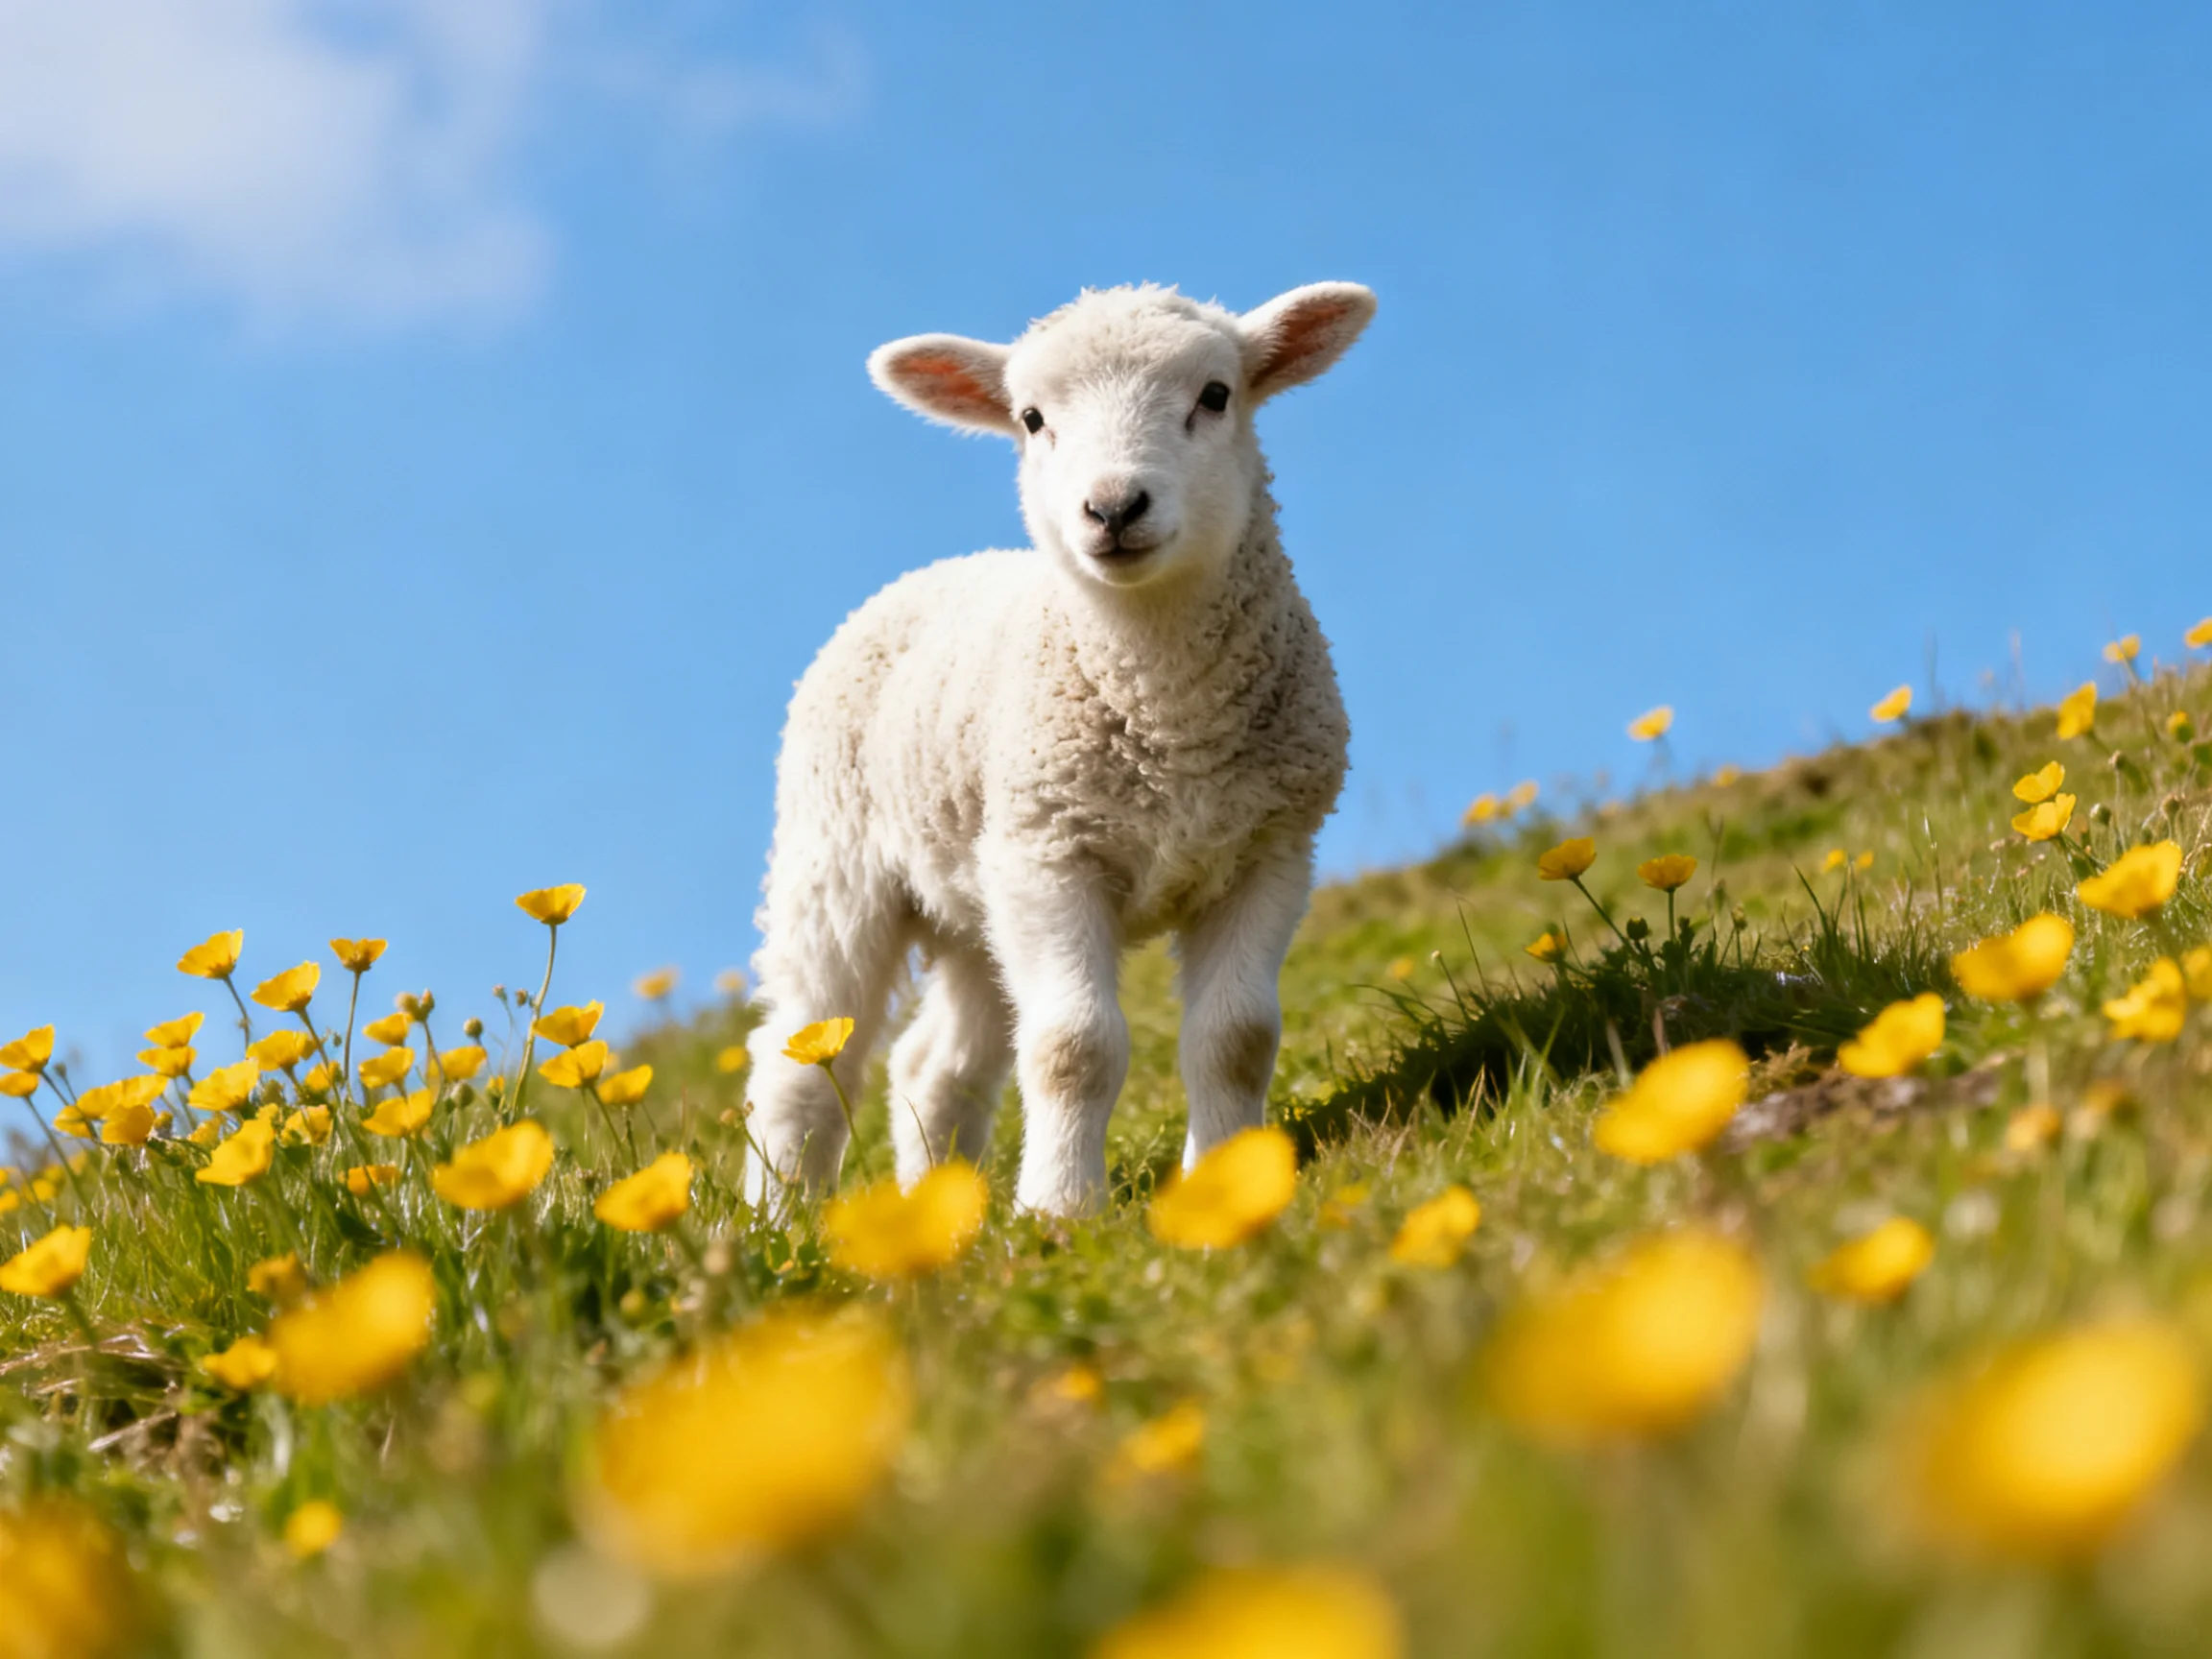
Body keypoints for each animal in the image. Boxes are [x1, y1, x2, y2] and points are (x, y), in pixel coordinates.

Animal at [742, 281, 1375, 1217]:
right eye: (1033, 419)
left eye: (1216, 395)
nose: (1113, 508)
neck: (1171, 724)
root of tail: (933, 570)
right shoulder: (1052, 852)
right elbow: (1073, 1046)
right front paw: (1060, 1212)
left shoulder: (1269, 849)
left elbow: (1236, 1038)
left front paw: (1227, 1189)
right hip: (838, 862)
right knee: (802, 1058)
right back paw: (778, 1221)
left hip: (976, 896)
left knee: (936, 1064)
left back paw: (944, 1214)